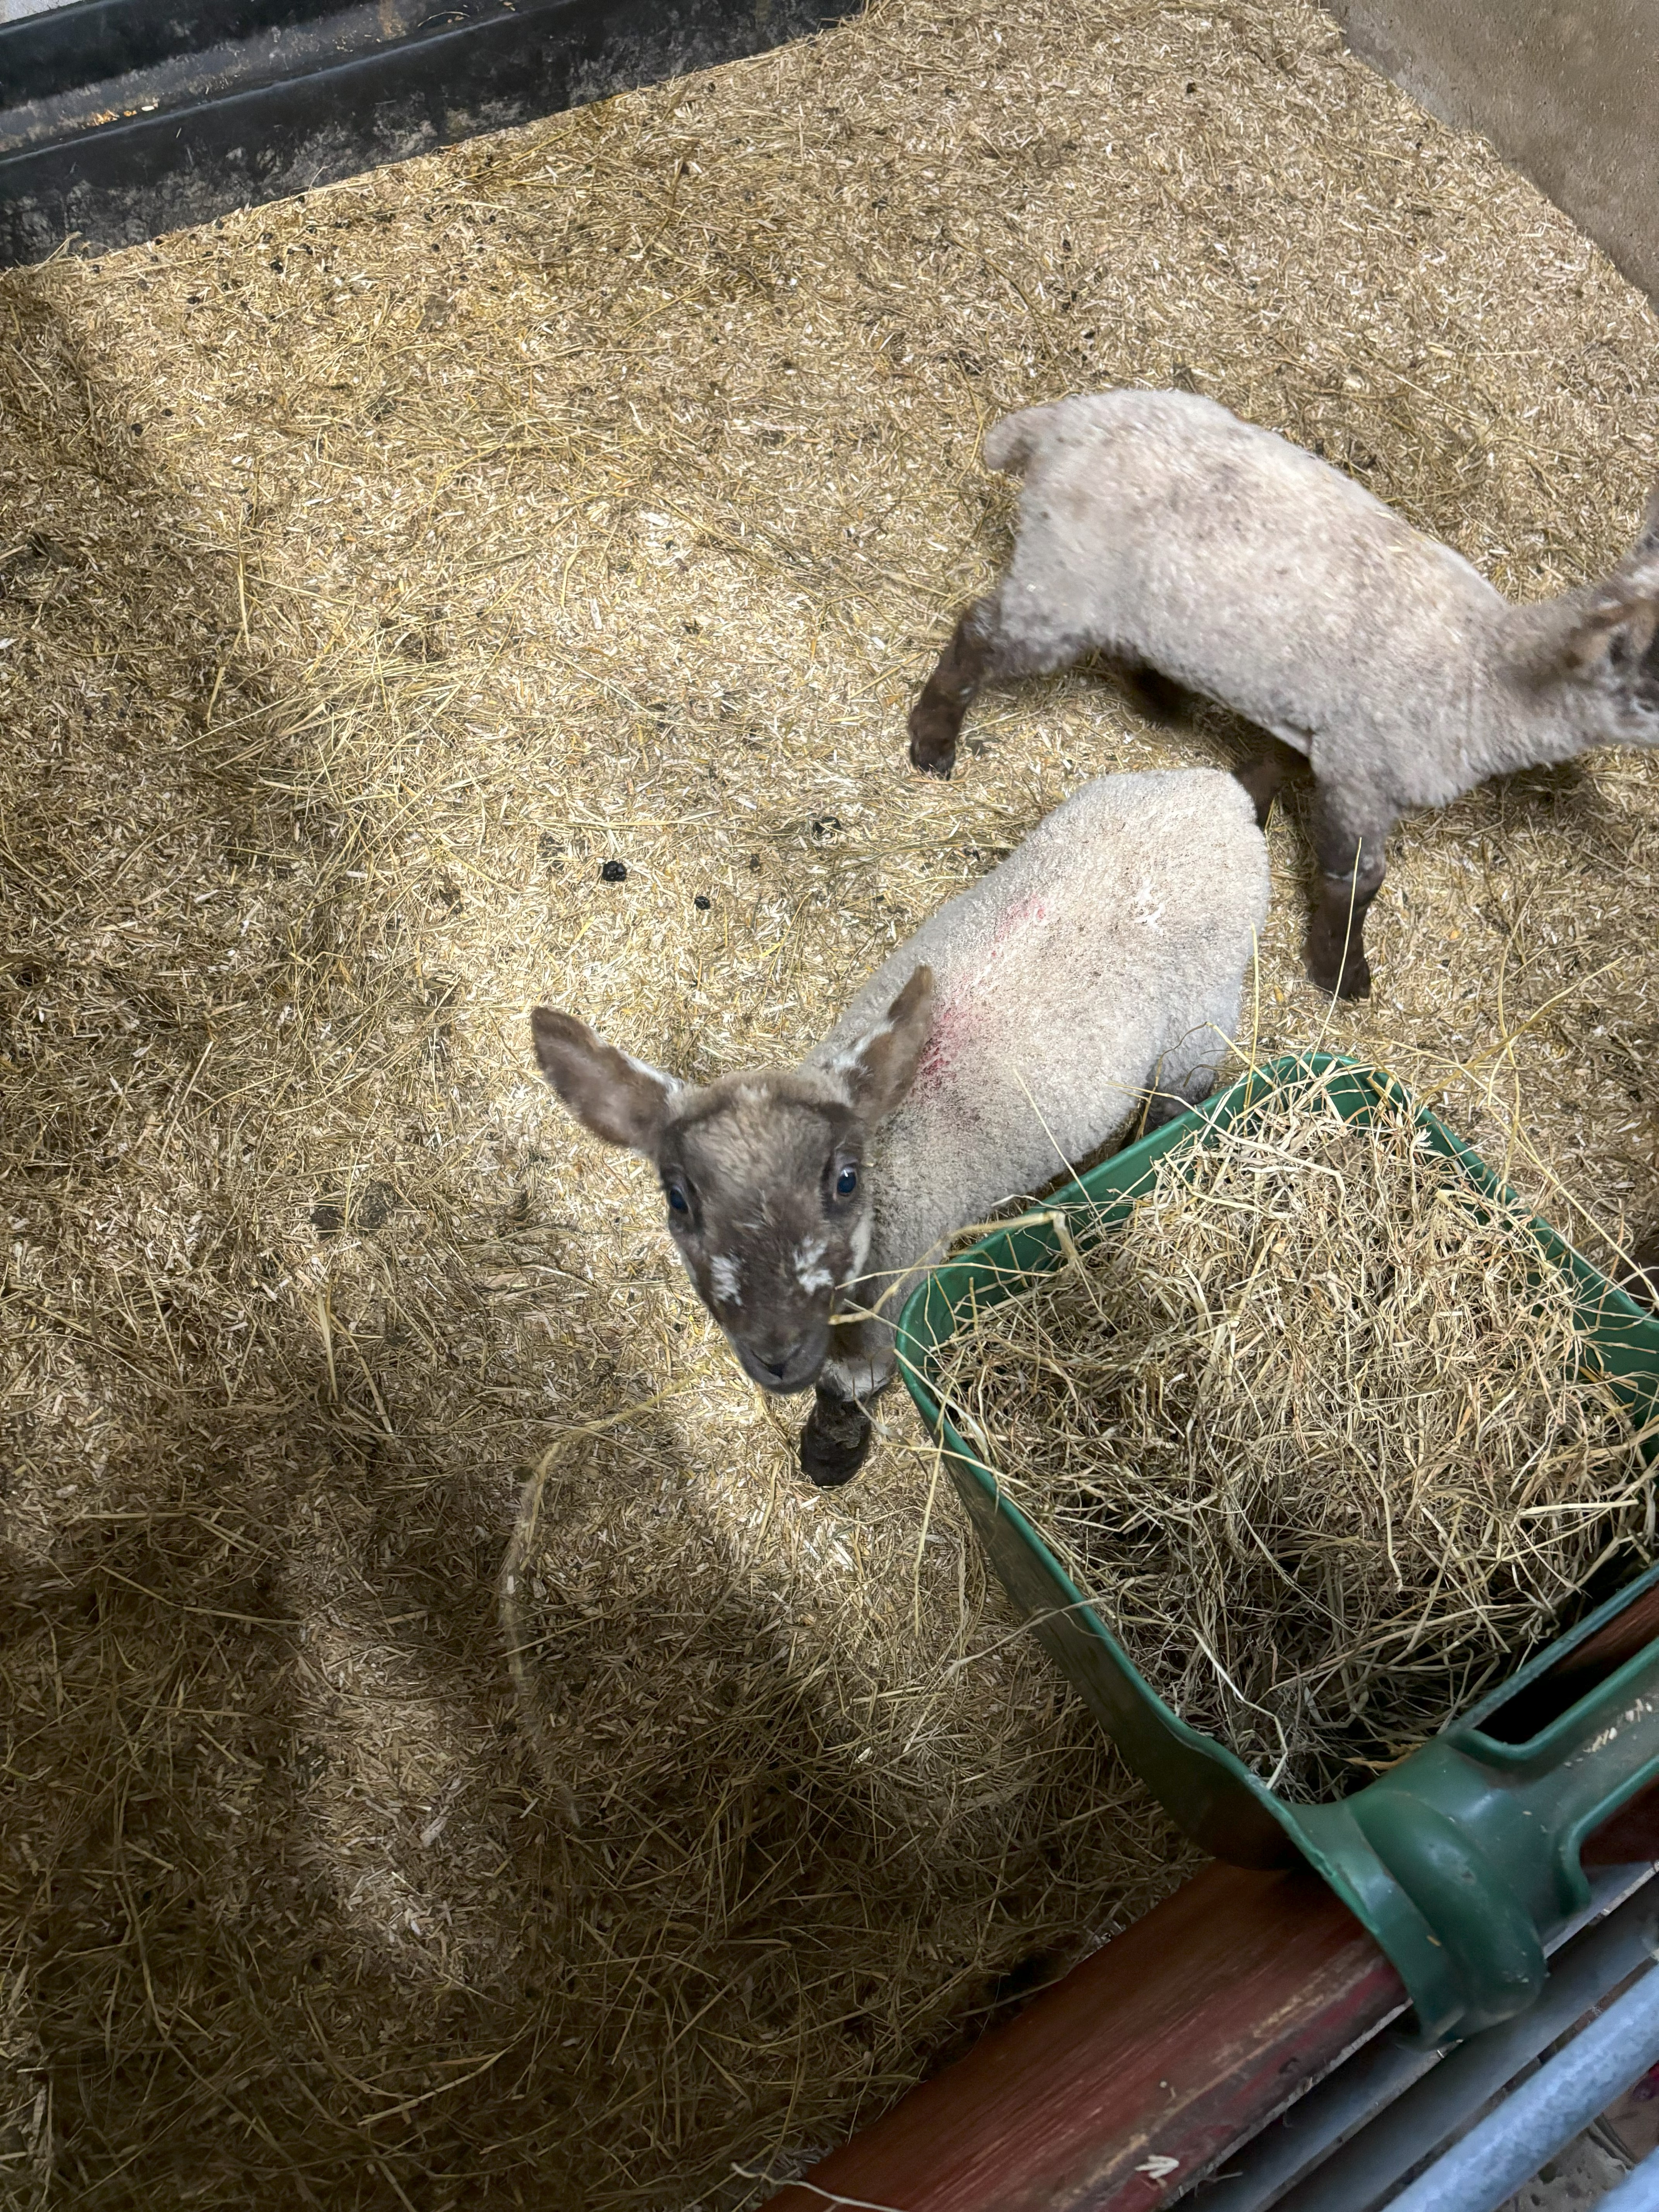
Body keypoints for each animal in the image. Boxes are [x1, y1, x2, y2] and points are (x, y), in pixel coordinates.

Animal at [533, 765, 1274, 1486]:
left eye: (844, 1181)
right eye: (678, 1198)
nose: (776, 1351)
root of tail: (1220, 791)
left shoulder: (895, 1291)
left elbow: (851, 1384)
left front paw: (830, 1453)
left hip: (1202, 1016)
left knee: (1179, 1095)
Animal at [911, 387, 1659, 995]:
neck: (1485, 672)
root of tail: (1056, 423)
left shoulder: (1320, 730)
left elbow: (1274, 763)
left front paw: (1250, 801)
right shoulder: (1363, 771)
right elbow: (1354, 882)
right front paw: (1340, 973)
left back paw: (1158, 699)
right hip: (1061, 579)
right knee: (979, 634)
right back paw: (932, 739)